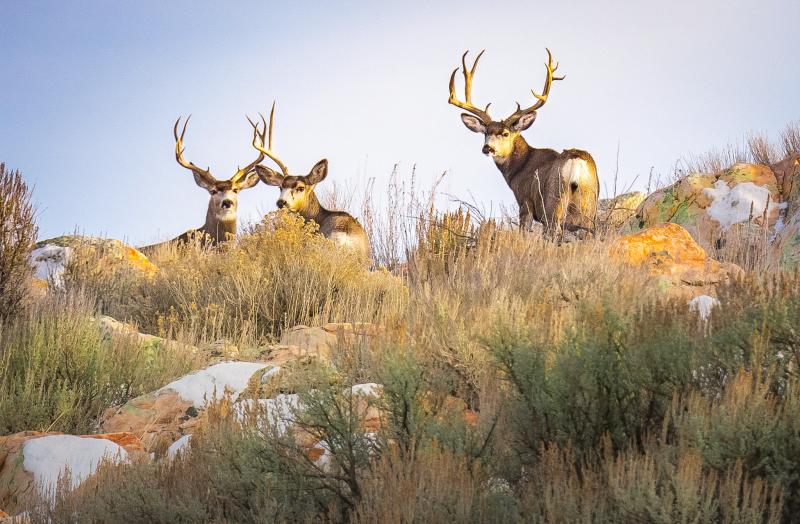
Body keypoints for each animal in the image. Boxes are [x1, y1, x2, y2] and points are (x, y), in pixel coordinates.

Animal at [448, 49, 599, 239]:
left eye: (505, 133)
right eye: (485, 133)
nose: (487, 148)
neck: (520, 167)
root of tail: (576, 161)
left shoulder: (525, 202)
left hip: (553, 201)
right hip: (589, 203)